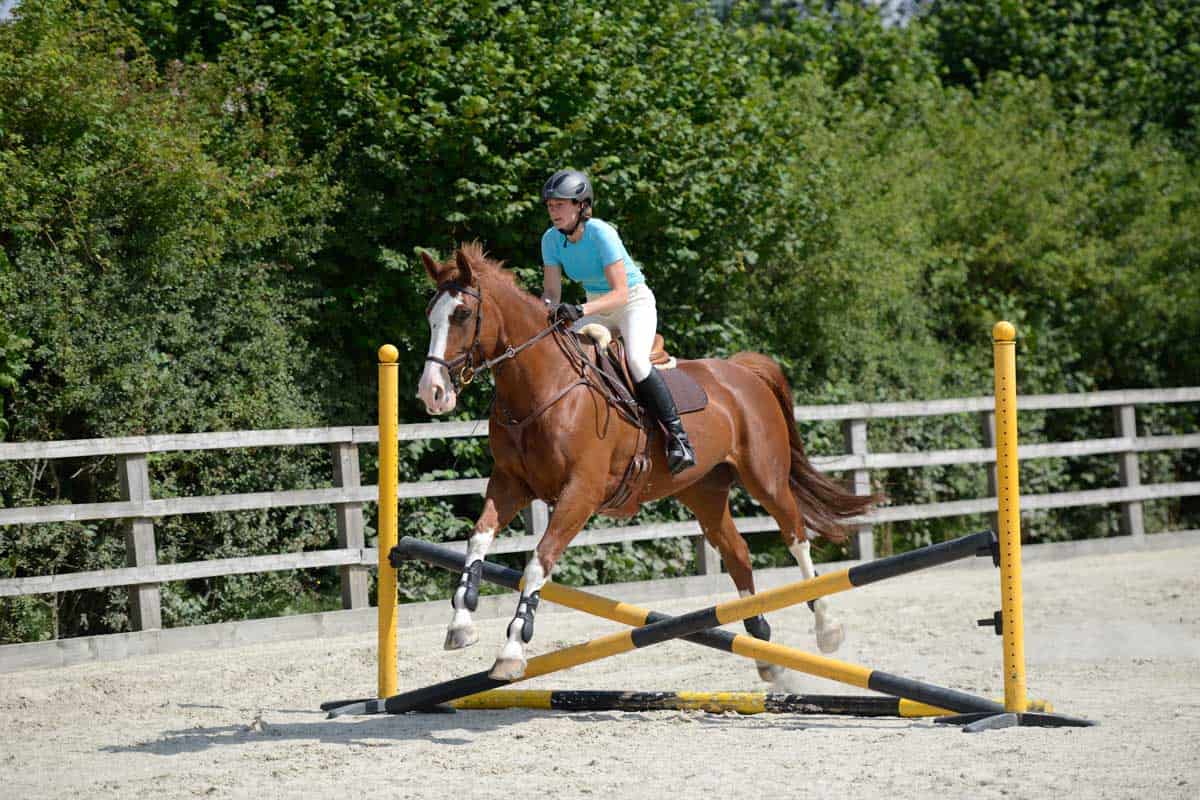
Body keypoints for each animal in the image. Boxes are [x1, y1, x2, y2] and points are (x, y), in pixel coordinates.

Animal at [412, 244, 873, 681]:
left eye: (462, 313)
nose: (432, 392)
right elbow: (478, 539)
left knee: (796, 536)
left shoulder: (580, 493)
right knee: (739, 552)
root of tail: (741, 371)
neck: (543, 388)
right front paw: (460, 625)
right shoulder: (511, 484)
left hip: (766, 478)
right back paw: (763, 650)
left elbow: (539, 560)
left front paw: (511, 651)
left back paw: (827, 627)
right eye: (429, 316)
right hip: (704, 492)